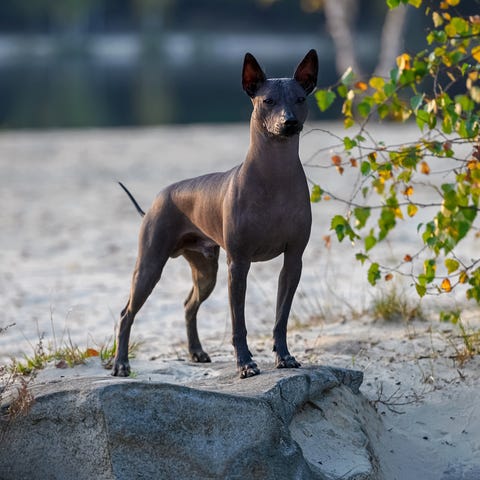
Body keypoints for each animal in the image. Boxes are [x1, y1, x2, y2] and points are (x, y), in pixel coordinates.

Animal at [113, 49, 318, 378]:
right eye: (268, 101)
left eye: (300, 98)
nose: (289, 122)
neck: (275, 176)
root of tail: (158, 198)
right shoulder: (239, 265)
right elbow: (239, 325)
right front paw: (245, 363)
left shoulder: (293, 261)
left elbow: (281, 318)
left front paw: (284, 356)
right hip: (149, 266)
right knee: (126, 313)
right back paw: (121, 363)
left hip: (206, 270)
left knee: (188, 305)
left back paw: (196, 352)